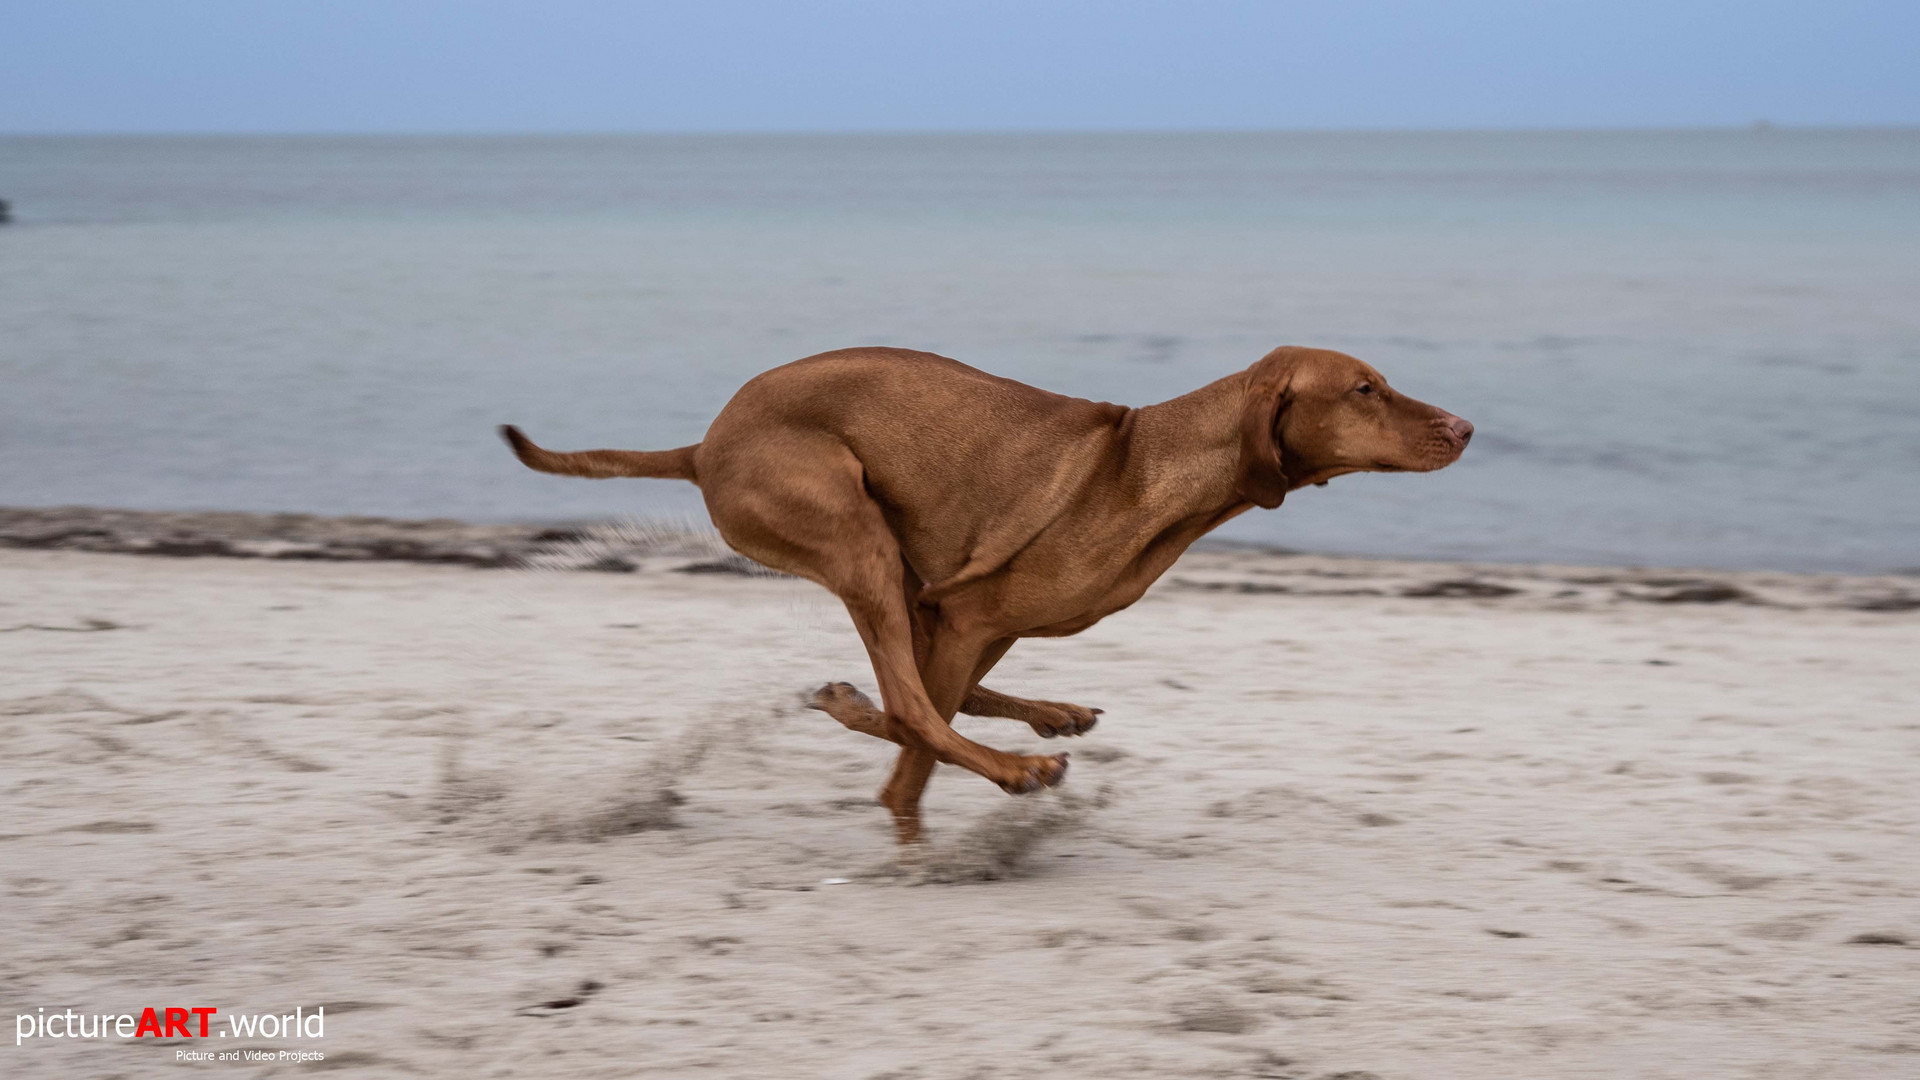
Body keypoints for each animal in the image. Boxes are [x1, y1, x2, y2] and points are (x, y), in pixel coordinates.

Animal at [503, 343, 1474, 841]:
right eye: (1365, 389)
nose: (1466, 427)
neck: (1153, 464)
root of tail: (703, 445)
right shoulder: (964, 612)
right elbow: (913, 747)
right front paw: (917, 826)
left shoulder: (978, 616)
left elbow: (937, 701)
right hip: (855, 532)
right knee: (912, 708)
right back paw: (1014, 764)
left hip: (900, 570)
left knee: (916, 695)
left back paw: (1035, 717)